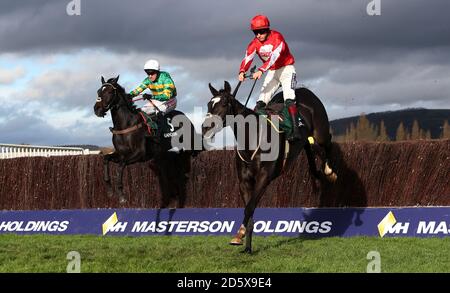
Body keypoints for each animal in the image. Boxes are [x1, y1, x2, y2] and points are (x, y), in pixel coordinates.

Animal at [94, 75, 201, 203]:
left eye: (110, 92)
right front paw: (110, 190)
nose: (97, 109)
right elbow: (106, 159)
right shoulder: (121, 153)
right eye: (99, 91)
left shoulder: (139, 154)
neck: (126, 124)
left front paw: (121, 195)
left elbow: (121, 165)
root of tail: (185, 117)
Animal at [202, 81, 336, 252]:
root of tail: (304, 91)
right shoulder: (244, 181)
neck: (253, 137)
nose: (205, 127)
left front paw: (240, 235)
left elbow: (249, 207)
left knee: (327, 142)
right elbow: (250, 210)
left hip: (321, 131)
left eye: (224, 103)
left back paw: (329, 171)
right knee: (310, 149)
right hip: (305, 139)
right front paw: (246, 245)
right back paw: (318, 171)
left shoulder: (264, 177)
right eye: (209, 104)